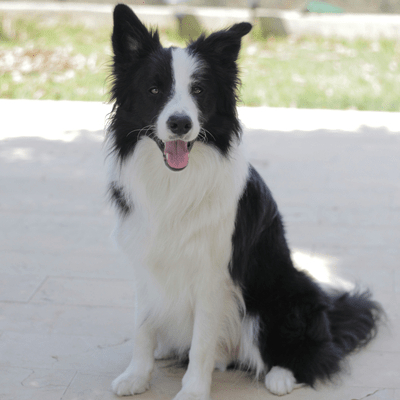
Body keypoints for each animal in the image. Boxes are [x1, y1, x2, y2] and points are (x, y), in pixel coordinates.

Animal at [108, 3, 382, 400]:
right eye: (154, 89)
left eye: (199, 90)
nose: (180, 124)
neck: (175, 181)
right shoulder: (146, 260)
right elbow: (144, 326)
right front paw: (137, 376)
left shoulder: (213, 275)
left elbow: (201, 342)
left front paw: (193, 390)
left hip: (281, 296)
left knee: (313, 355)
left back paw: (281, 376)